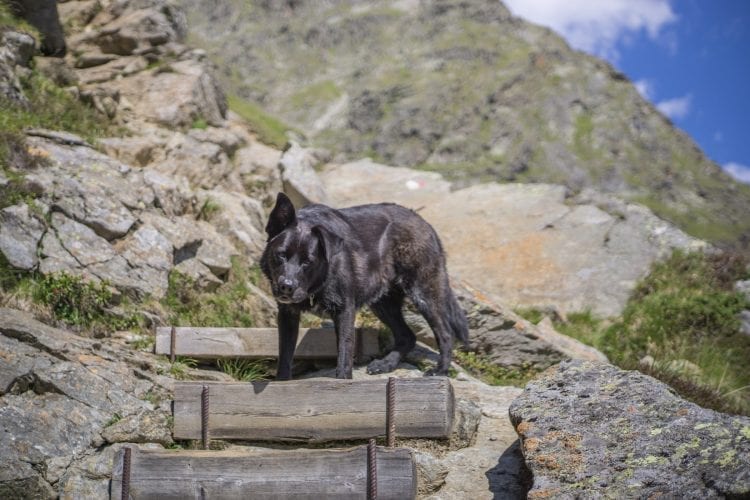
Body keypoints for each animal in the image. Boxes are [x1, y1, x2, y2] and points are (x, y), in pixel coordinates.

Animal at [262, 191, 468, 378]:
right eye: (281, 255)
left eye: (307, 262)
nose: (287, 286)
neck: (320, 281)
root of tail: (425, 223)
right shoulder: (287, 315)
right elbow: (285, 356)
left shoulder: (344, 311)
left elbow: (344, 357)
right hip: (382, 303)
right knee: (407, 337)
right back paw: (386, 364)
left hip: (423, 293)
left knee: (445, 333)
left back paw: (440, 370)